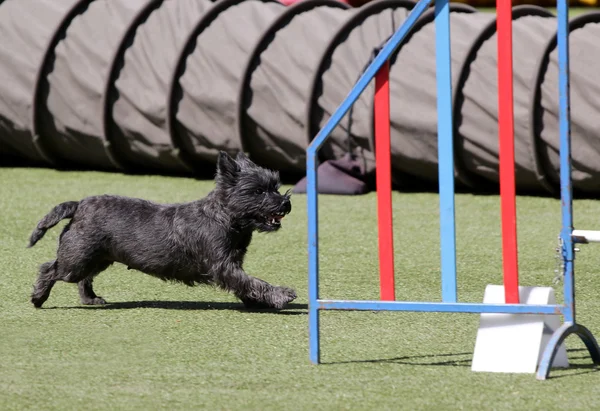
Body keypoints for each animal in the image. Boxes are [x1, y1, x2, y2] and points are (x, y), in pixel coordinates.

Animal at [27, 153, 296, 310]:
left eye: (276, 186)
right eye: (258, 191)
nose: (285, 203)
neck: (225, 216)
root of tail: (79, 204)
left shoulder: (232, 264)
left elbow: (246, 283)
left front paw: (258, 300)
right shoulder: (223, 265)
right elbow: (253, 281)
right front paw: (280, 294)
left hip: (96, 258)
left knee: (85, 278)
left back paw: (91, 299)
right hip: (77, 260)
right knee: (49, 269)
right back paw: (38, 298)